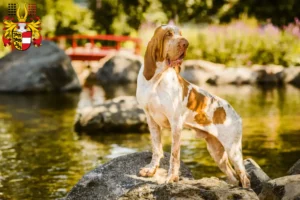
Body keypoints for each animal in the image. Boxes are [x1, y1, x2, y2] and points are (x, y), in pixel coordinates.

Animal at [136, 24, 251, 188]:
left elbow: (174, 155)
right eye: (168, 34)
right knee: (233, 177)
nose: (186, 43)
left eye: (180, 33)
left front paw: (172, 178)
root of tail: (236, 114)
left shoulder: (176, 124)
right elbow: (156, 149)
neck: (156, 80)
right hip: (217, 152)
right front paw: (151, 170)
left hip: (233, 150)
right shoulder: (151, 119)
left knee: (244, 177)